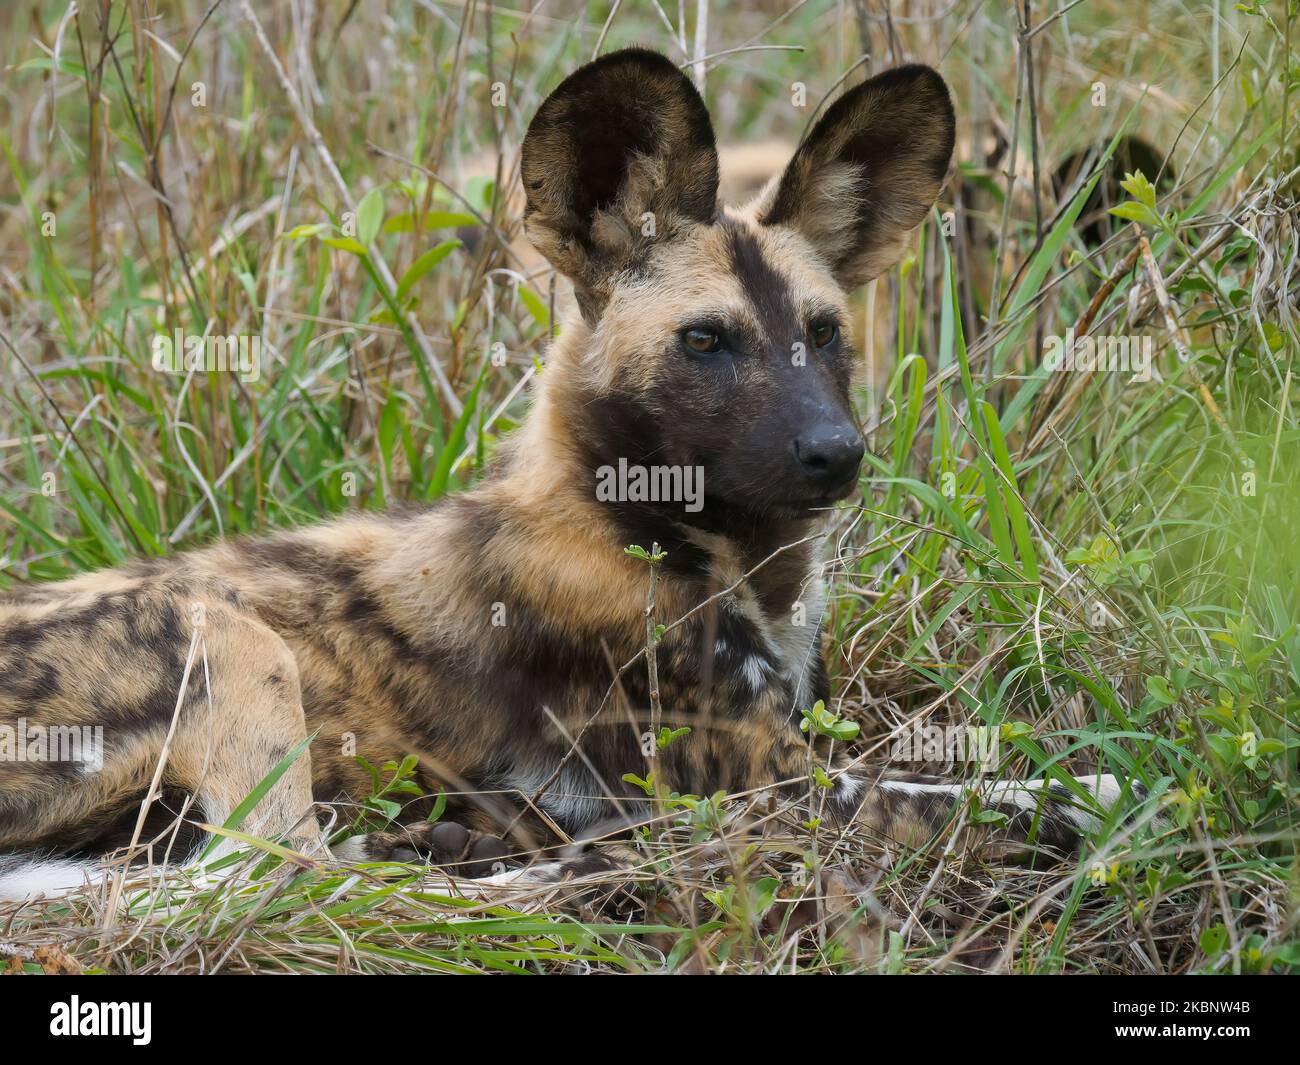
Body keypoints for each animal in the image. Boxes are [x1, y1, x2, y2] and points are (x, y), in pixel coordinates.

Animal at [0, 50, 1128, 899]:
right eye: (705, 341)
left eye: (823, 334)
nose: (834, 451)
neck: (719, 555)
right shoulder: (788, 790)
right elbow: (1030, 800)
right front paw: (1101, 800)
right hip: (223, 637)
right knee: (285, 875)